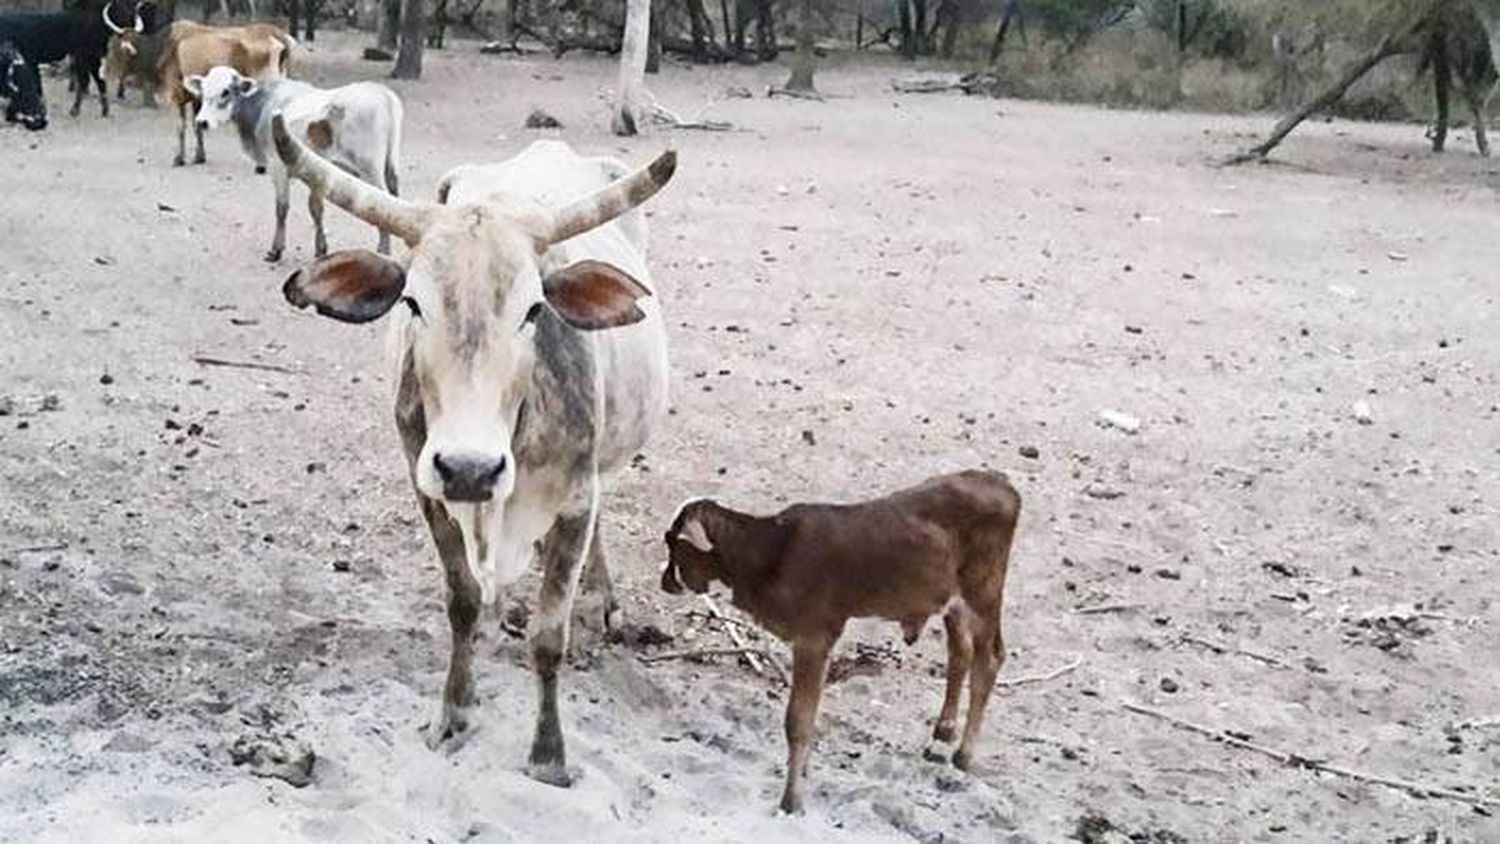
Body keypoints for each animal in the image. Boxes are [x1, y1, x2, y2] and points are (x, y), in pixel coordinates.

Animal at [273, 113, 678, 785]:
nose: (470, 467)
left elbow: (549, 634)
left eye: (534, 309)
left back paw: (601, 600)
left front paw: (548, 754)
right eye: (412, 303)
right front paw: (454, 713)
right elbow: (460, 601)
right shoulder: (429, 488)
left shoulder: (574, 498)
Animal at [666, 467, 1026, 809]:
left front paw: (791, 801)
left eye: (673, 543)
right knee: (960, 651)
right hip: (954, 602)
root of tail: (998, 480)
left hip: (984, 594)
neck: (771, 553)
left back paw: (963, 755)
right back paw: (942, 736)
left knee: (989, 660)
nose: (664, 582)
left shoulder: (813, 638)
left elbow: (798, 721)